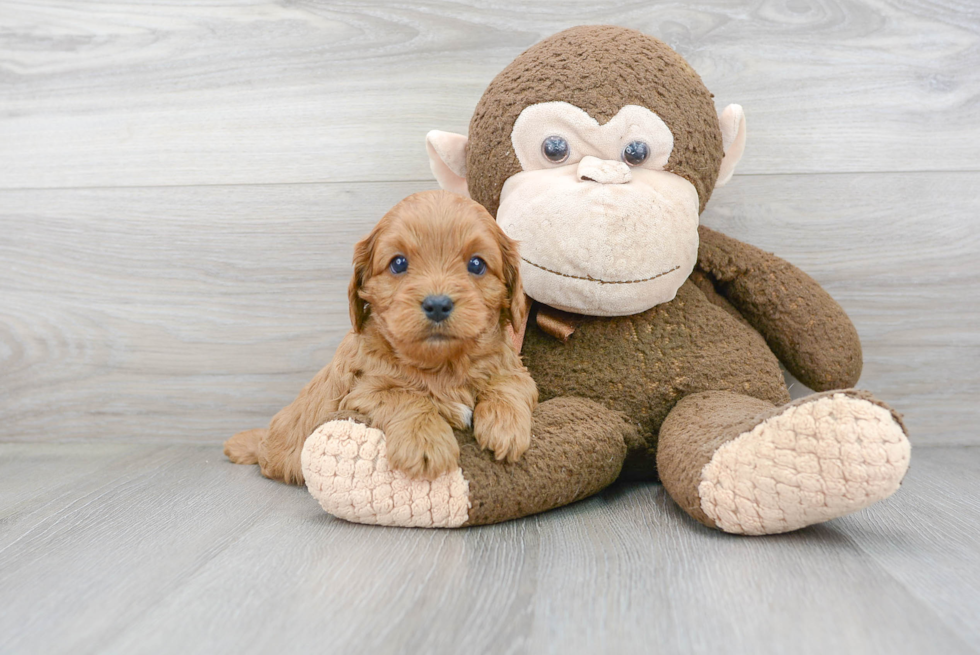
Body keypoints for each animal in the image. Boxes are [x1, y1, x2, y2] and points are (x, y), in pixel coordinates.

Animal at [224, 190, 536, 482]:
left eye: (476, 264)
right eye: (398, 263)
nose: (437, 305)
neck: (442, 366)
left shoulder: (515, 369)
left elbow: (509, 383)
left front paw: (505, 426)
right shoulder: (362, 391)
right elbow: (406, 397)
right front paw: (425, 442)